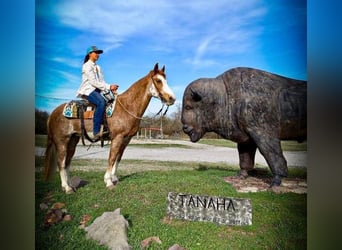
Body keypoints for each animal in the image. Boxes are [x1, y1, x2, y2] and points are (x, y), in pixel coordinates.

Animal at [44, 62, 176, 193]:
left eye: (165, 80)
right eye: (158, 81)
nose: (172, 98)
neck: (126, 107)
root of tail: (53, 113)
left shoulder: (126, 139)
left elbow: (118, 158)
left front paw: (114, 178)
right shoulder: (117, 138)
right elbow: (111, 158)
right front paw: (108, 181)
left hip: (73, 140)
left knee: (67, 162)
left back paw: (71, 185)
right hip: (62, 141)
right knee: (61, 162)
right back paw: (66, 188)